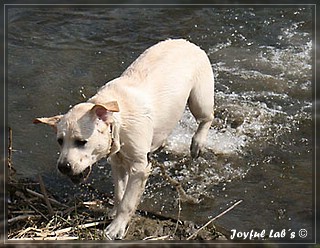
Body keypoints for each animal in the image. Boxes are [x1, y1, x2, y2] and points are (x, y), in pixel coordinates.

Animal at [34, 39, 215, 240]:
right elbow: (119, 193)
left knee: (208, 118)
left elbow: (128, 201)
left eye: (81, 142)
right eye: (59, 141)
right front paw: (114, 213)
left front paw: (116, 227)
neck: (118, 120)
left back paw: (197, 143)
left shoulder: (140, 167)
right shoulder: (117, 161)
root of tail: (186, 42)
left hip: (200, 98)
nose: (63, 167)